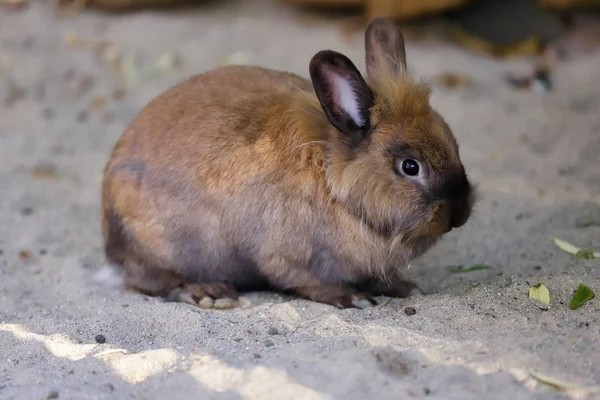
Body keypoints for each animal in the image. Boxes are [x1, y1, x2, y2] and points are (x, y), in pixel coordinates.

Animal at [101, 16, 476, 310]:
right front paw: (351, 298)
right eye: (410, 166)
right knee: (152, 281)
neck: (335, 187)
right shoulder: (282, 255)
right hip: (163, 247)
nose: (459, 214)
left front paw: (406, 288)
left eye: (455, 145)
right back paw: (207, 292)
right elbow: (302, 280)